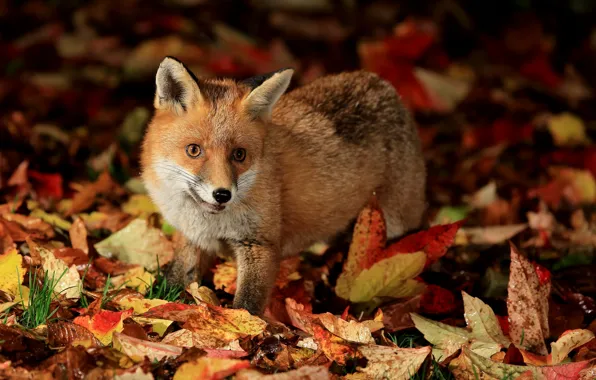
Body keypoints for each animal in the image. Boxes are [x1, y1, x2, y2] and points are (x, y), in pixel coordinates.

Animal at [140, 56, 426, 316]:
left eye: (239, 155)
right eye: (194, 150)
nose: (222, 194)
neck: (211, 223)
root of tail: (382, 84)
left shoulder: (260, 244)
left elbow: (247, 305)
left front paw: (244, 331)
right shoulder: (192, 238)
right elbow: (175, 279)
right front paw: (159, 304)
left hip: (396, 225)